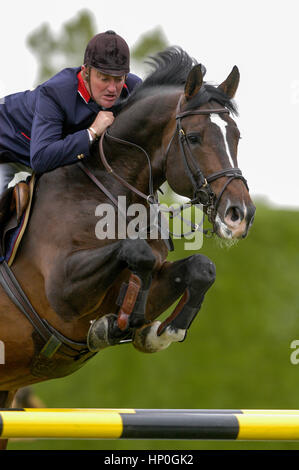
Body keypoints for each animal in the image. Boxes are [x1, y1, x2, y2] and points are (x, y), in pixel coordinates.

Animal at [0, 47, 255, 448]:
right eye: (194, 138)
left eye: (237, 136)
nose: (240, 215)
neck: (110, 189)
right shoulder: (61, 292)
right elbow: (138, 254)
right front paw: (117, 326)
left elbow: (201, 267)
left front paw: (158, 333)